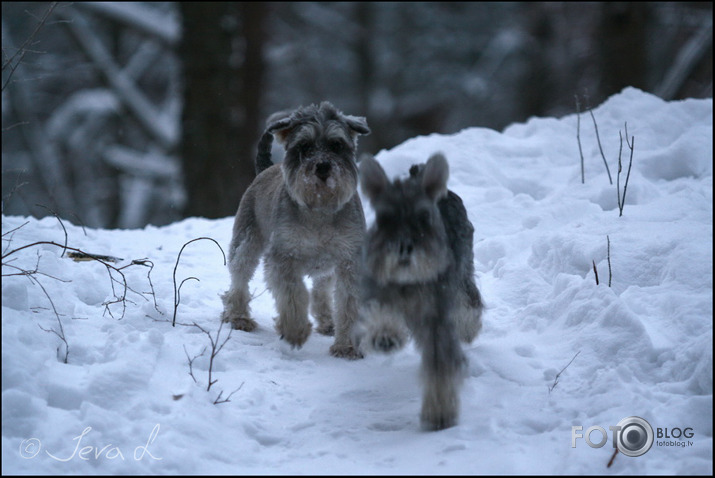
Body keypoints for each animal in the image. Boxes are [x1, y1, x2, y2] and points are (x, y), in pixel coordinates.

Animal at [221, 101, 370, 358]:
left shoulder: (350, 260)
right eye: (304, 146)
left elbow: (347, 304)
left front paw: (347, 346)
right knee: (239, 279)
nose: (322, 167)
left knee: (321, 289)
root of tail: (266, 168)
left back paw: (327, 322)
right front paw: (295, 331)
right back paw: (239, 318)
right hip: (246, 243)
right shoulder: (284, 257)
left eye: (336, 144)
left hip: (328, 264)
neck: (319, 209)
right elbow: (293, 295)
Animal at [360, 152, 484, 430]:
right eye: (384, 218)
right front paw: (386, 336)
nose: (404, 248)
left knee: (470, 302)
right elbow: (381, 311)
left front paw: (439, 414)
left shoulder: (437, 320)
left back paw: (468, 329)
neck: (409, 281)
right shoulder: (377, 292)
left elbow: (440, 368)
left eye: (423, 216)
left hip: (463, 271)